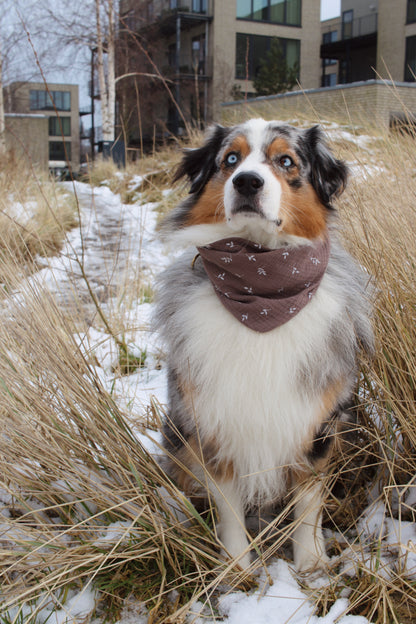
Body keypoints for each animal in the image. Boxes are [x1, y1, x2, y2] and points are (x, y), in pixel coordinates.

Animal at [155, 119, 374, 572]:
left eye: (285, 161)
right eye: (230, 159)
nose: (247, 182)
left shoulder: (315, 424)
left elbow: (308, 503)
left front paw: (310, 563)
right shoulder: (215, 421)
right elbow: (229, 505)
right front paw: (236, 565)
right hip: (178, 433)